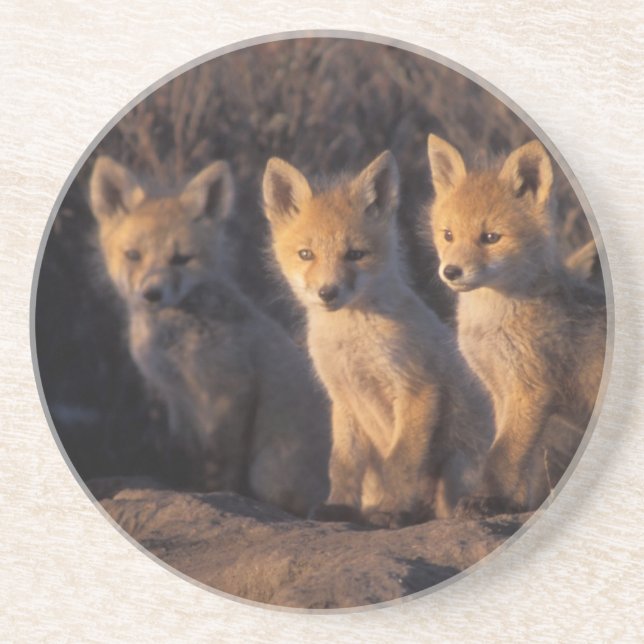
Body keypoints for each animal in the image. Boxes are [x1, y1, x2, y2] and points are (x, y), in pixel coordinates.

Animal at [88, 156, 330, 516]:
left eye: (181, 259)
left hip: (269, 469)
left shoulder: (230, 392)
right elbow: (187, 455)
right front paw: (187, 489)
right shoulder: (177, 400)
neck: (176, 349)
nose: (152, 294)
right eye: (133, 255)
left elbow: (221, 464)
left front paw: (219, 495)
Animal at [262, 151, 493, 528]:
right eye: (306, 254)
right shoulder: (343, 399)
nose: (328, 293)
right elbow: (342, 464)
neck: (353, 345)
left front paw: (392, 510)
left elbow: (400, 462)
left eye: (355, 255)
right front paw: (338, 506)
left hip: (457, 464)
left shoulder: (417, 389)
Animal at [426, 134, 607, 515]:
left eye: (491, 238)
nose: (451, 272)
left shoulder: (531, 390)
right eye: (448, 235)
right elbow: (515, 458)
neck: (490, 326)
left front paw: (485, 499)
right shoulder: (500, 390)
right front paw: (510, 503)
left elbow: (502, 457)